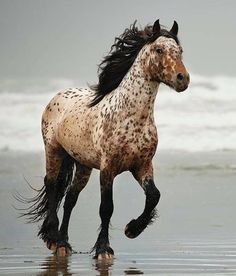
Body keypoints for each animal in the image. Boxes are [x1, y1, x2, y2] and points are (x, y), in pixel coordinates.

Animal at [17, 19, 190, 258]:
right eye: (158, 49)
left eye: (180, 51)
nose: (183, 79)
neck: (130, 117)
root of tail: (57, 96)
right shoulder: (108, 168)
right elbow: (106, 208)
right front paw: (103, 249)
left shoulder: (142, 165)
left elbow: (154, 195)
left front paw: (132, 229)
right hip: (53, 151)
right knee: (52, 186)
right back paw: (52, 238)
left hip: (82, 164)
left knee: (70, 198)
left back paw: (63, 243)